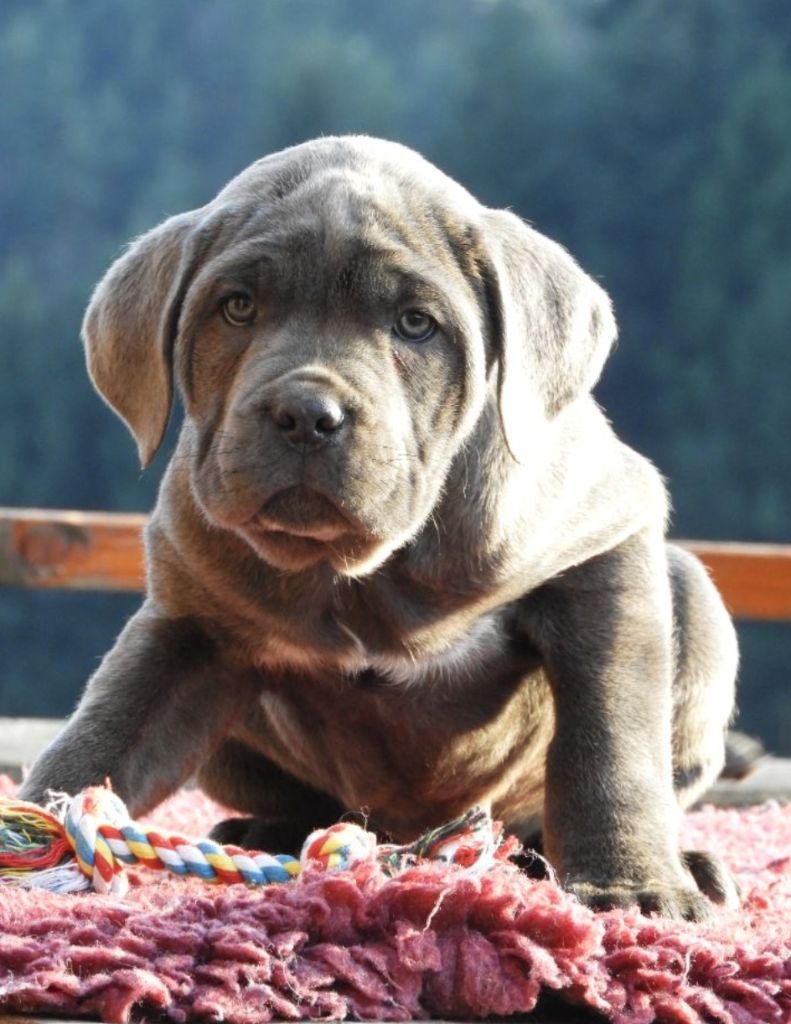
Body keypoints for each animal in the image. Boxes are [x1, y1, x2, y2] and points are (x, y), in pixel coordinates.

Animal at [21, 138, 737, 921]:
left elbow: (608, 740)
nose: (307, 414)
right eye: (237, 307)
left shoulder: (603, 551)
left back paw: (683, 862)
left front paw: (631, 884)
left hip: (691, 598)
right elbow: (101, 738)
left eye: (415, 324)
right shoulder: (188, 623)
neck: (367, 572)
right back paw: (264, 831)